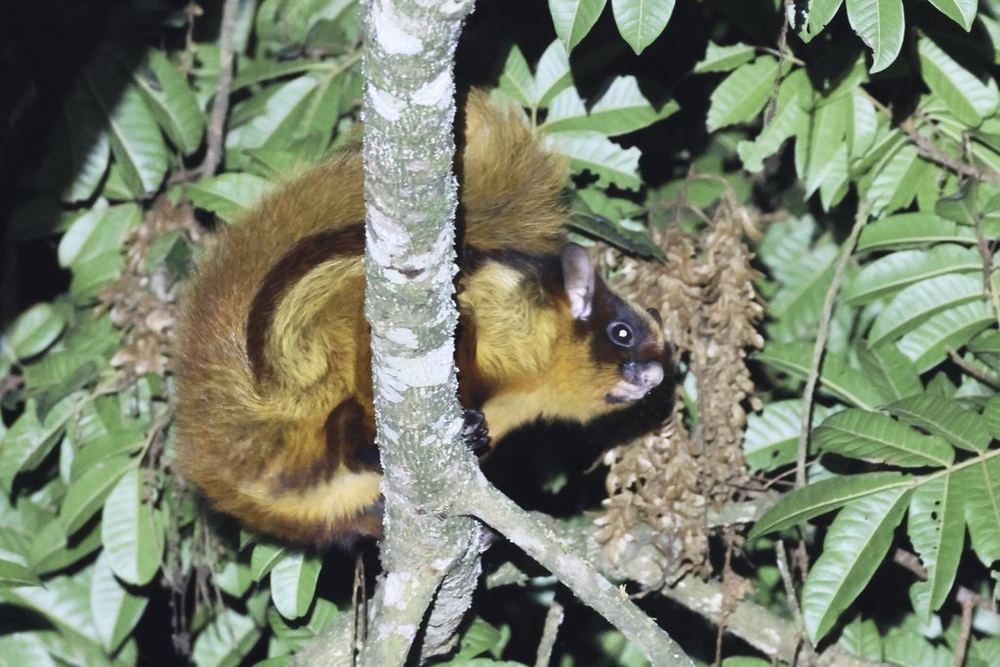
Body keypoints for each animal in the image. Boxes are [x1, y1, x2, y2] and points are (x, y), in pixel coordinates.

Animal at [174, 90, 668, 545]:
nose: (656, 376)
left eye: (664, 350)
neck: (530, 381)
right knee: (347, 431)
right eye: (621, 332)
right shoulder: (490, 296)